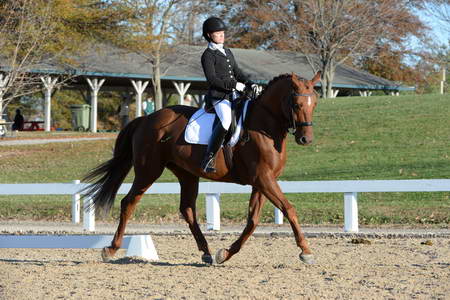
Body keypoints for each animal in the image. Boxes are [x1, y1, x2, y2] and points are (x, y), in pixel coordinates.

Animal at [82, 72, 322, 264]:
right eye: (297, 105)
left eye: (315, 104)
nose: (306, 139)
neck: (265, 126)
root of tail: (146, 118)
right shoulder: (263, 179)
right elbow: (288, 209)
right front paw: (306, 251)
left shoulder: (262, 181)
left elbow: (252, 221)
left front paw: (225, 253)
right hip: (148, 171)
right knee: (129, 202)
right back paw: (111, 249)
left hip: (186, 174)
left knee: (187, 209)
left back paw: (206, 251)